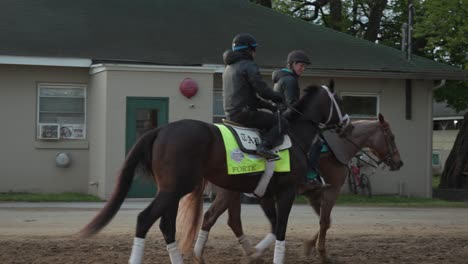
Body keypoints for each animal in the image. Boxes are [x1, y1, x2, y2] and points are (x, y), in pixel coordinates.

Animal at [79, 83, 352, 264]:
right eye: (338, 100)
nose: (347, 123)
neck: (293, 136)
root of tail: (161, 130)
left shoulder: (265, 194)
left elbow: (275, 226)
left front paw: (253, 253)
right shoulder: (286, 192)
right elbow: (282, 228)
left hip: (173, 191)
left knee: (168, 226)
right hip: (175, 189)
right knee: (145, 219)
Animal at [194, 114, 402, 264]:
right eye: (391, 137)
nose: (399, 162)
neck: (339, 148)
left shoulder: (313, 194)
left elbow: (326, 221)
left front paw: (309, 246)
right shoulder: (331, 190)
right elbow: (325, 221)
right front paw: (321, 253)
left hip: (231, 192)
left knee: (229, 220)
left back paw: (249, 253)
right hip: (231, 192)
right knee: (216, 218)